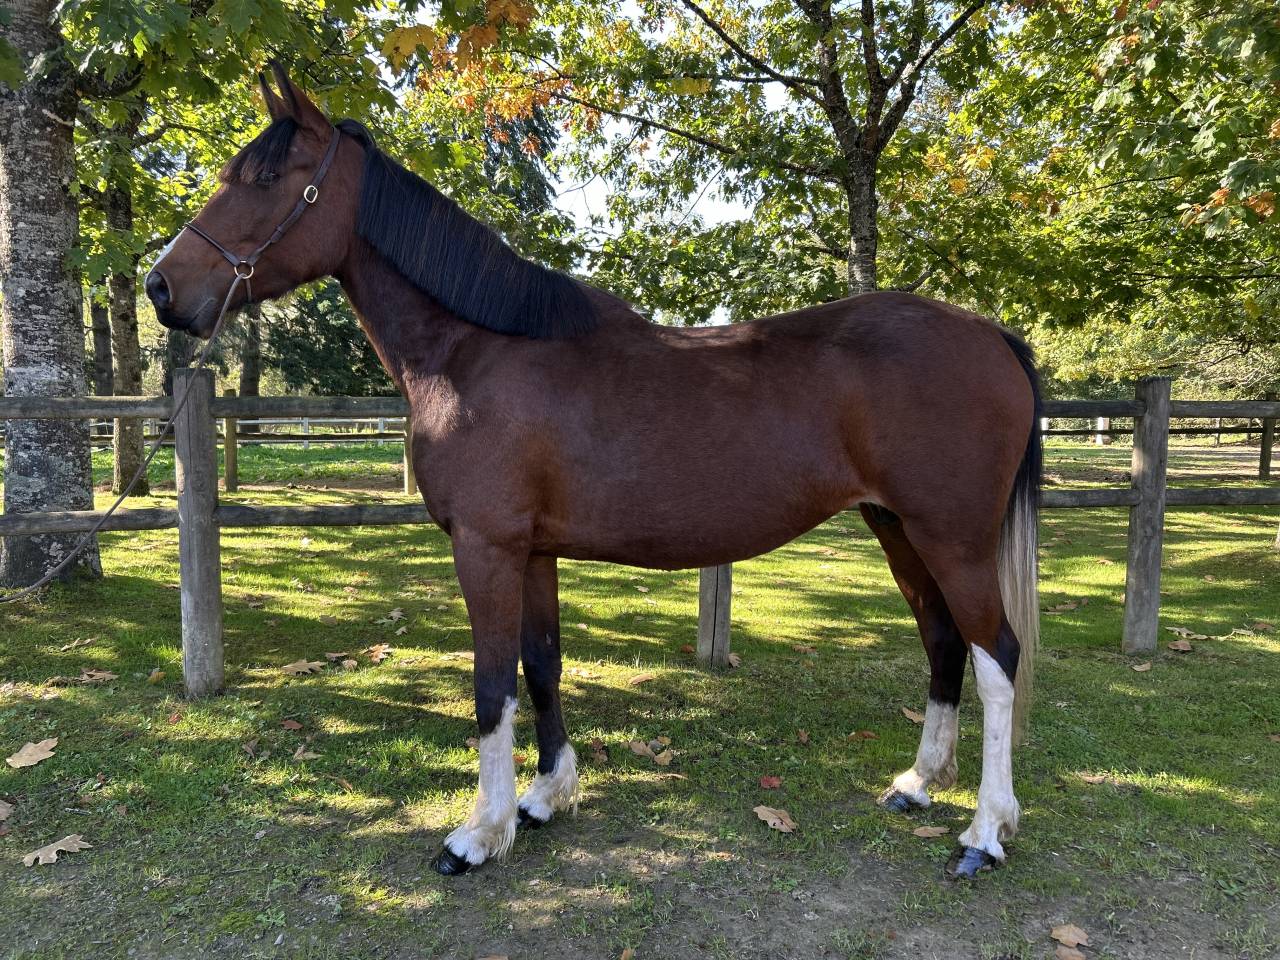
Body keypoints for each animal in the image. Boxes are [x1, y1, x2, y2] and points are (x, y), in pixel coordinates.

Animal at [147, 66, 1041, 880]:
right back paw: (919, 784)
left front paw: (479, 834)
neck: (476, 351)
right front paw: (546, 798)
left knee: (997, 657)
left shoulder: (486, 547)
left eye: (265, 179)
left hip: (950, 538)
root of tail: (991, 334)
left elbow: (490, 685)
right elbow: (541, 666)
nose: (161, 287)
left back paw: (986, 832)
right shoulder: (533, 550)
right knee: (944, 643)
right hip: (897, 530)